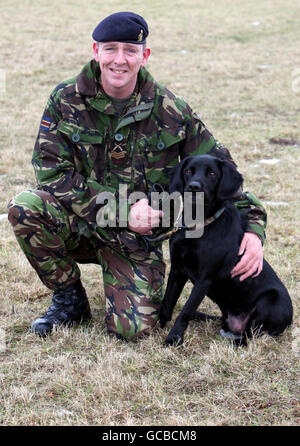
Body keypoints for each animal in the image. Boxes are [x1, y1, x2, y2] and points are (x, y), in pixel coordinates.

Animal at [159, 155, 292, 346]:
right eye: (188, 171)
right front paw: (158, 326)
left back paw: (235, 342)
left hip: (270, 301)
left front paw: (174, 338)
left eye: (212, 173)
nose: (193, 187)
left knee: (252, 334)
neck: (198, 225)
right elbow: (168, 301)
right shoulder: (177, 270)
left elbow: (185, 311)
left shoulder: (205, 279)